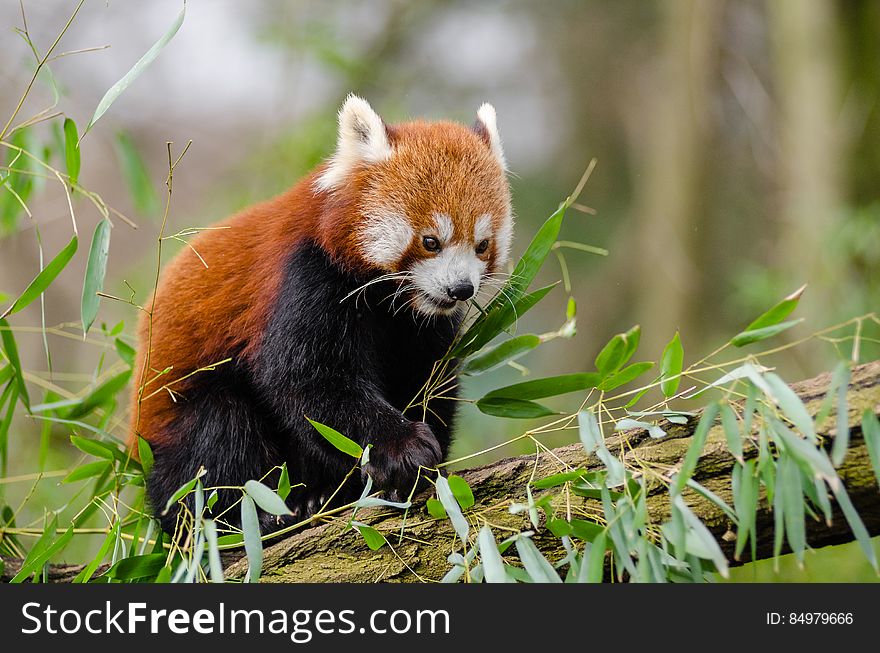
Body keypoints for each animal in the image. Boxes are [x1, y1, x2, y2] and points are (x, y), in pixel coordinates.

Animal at [133, 97, 512, 532]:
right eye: (431, 241)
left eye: (482, 245)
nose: (460, 289)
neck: (388, 300)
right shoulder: (309, 275)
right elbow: (307, 379)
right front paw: (404, 448)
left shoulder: (420, 325)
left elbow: (428, 383)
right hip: (172, 420)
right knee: (216, 436)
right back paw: (253, 518)